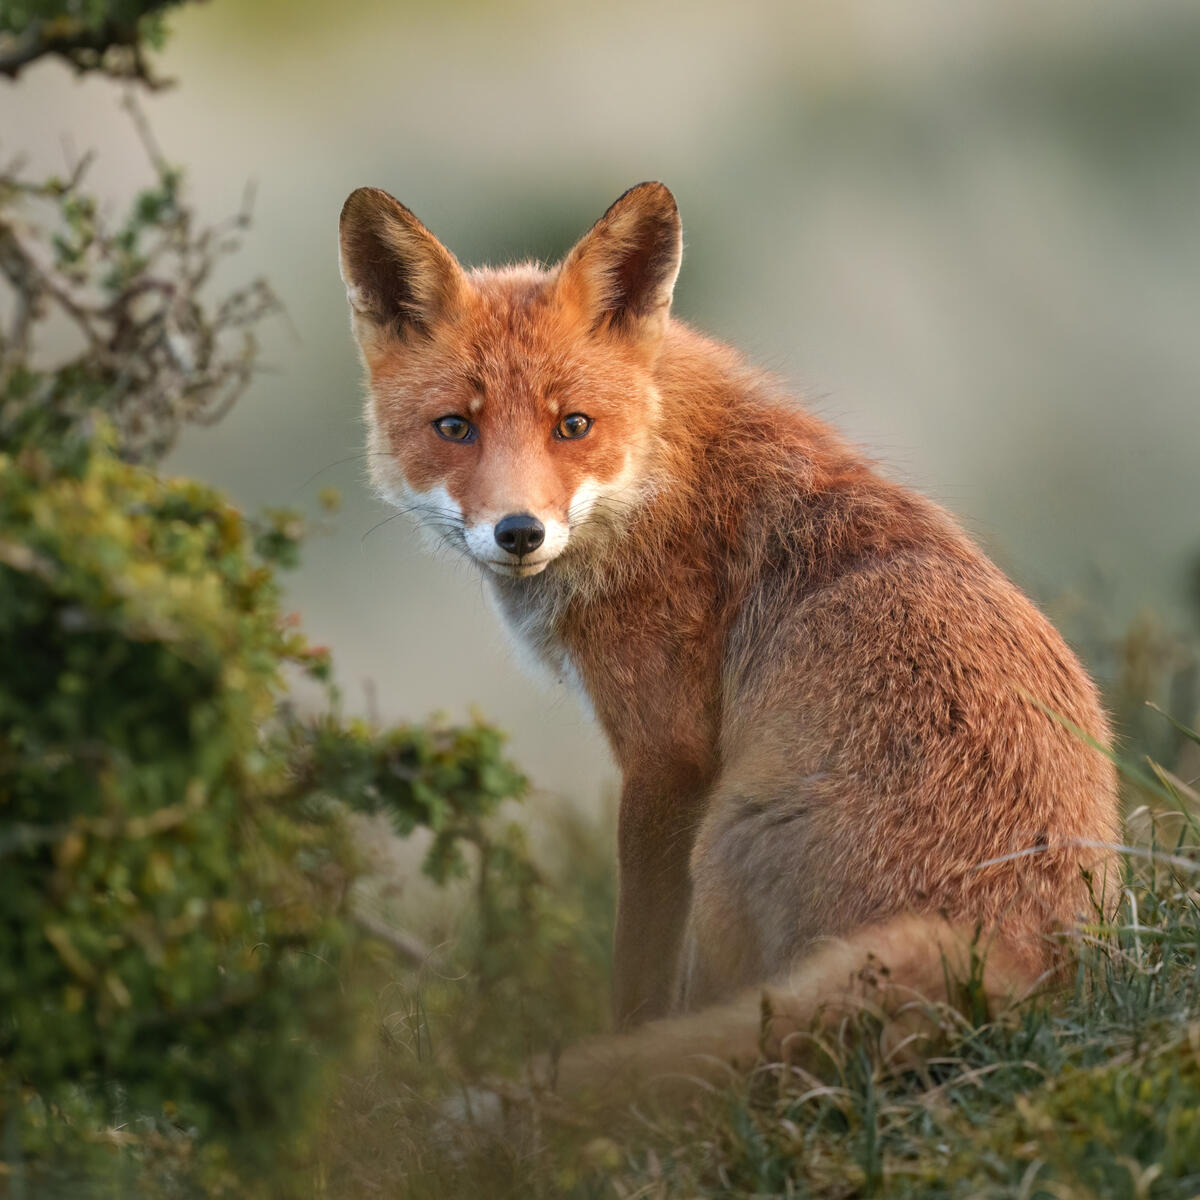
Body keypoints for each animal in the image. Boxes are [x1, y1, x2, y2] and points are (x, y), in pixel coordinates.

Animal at [337, 181, 1120, 1097]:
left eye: (574, 425)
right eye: (455, 427)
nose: (519, 532)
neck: (656, 480)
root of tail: (1016, 944)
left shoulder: (666, 760)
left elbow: (638, 973)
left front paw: (617, 1049)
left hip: (719, 847)